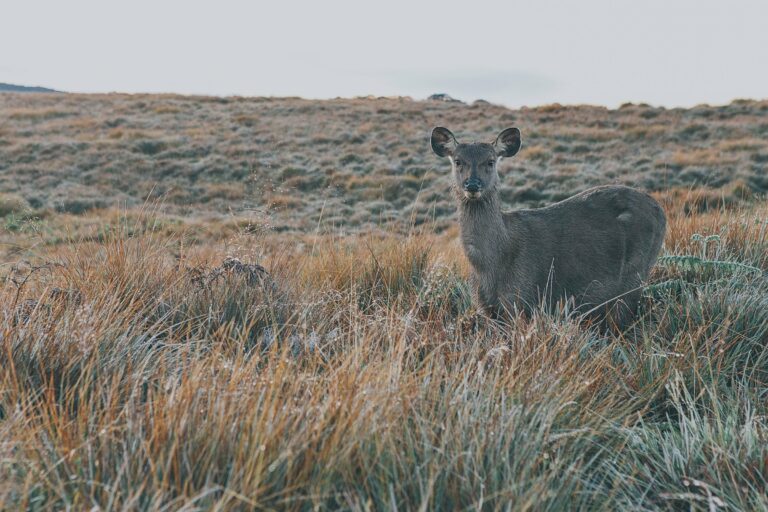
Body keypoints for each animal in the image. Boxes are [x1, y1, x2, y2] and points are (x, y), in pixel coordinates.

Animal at [431, 126, 667, 327]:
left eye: (490, 161)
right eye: (458, 161)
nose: (472, 185)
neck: (491, 264)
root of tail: (661, 211)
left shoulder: (521, 299)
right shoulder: (487, 308)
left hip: (635, 273)